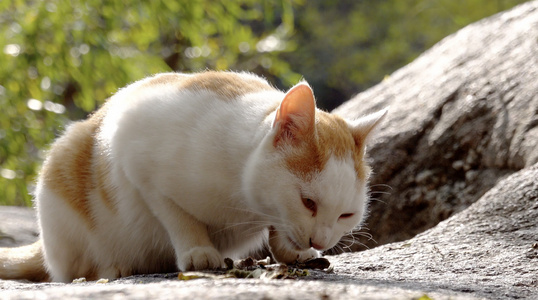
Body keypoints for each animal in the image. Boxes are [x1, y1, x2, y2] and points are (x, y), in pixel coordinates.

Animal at [0, 71, 386, 282]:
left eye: (346, 215)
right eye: (308, 202)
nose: (320, 240)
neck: (245, 202)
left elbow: (278, 228)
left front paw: (291, 252)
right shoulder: (135, 156)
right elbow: (177, 215)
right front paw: (199, 250)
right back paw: (114, 268)